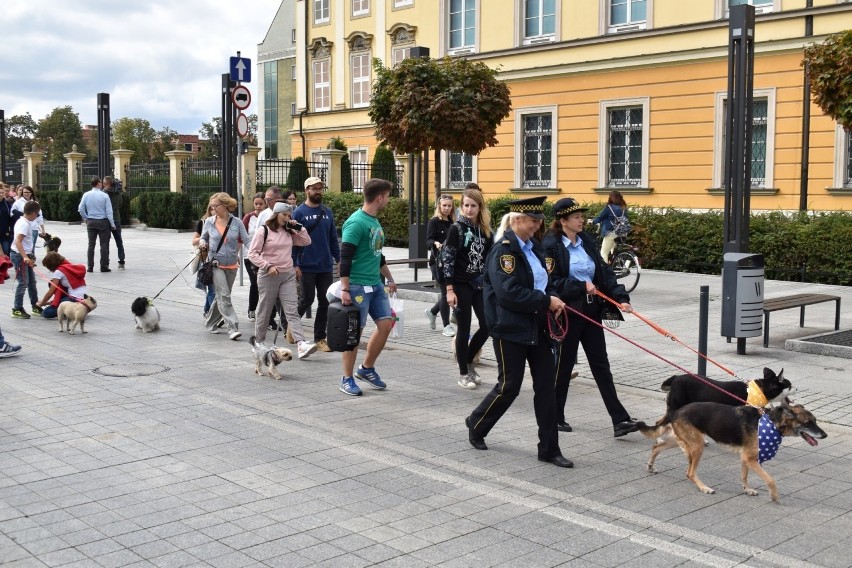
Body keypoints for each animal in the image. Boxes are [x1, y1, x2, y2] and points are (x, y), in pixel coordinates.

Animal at [640, 400, 824, 502]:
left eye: (815, 421)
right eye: (808, 423)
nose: (825, 435)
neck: (772, 423)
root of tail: (676, 411)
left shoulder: (746, 457)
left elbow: (744, 476)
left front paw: (747, 490)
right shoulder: (751, 459)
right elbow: (770, 479)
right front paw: (774, 496)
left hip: (682, 441)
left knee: (656, 447)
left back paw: (650, 466)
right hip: (697, 446)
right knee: (689, 472)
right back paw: (704, 488)